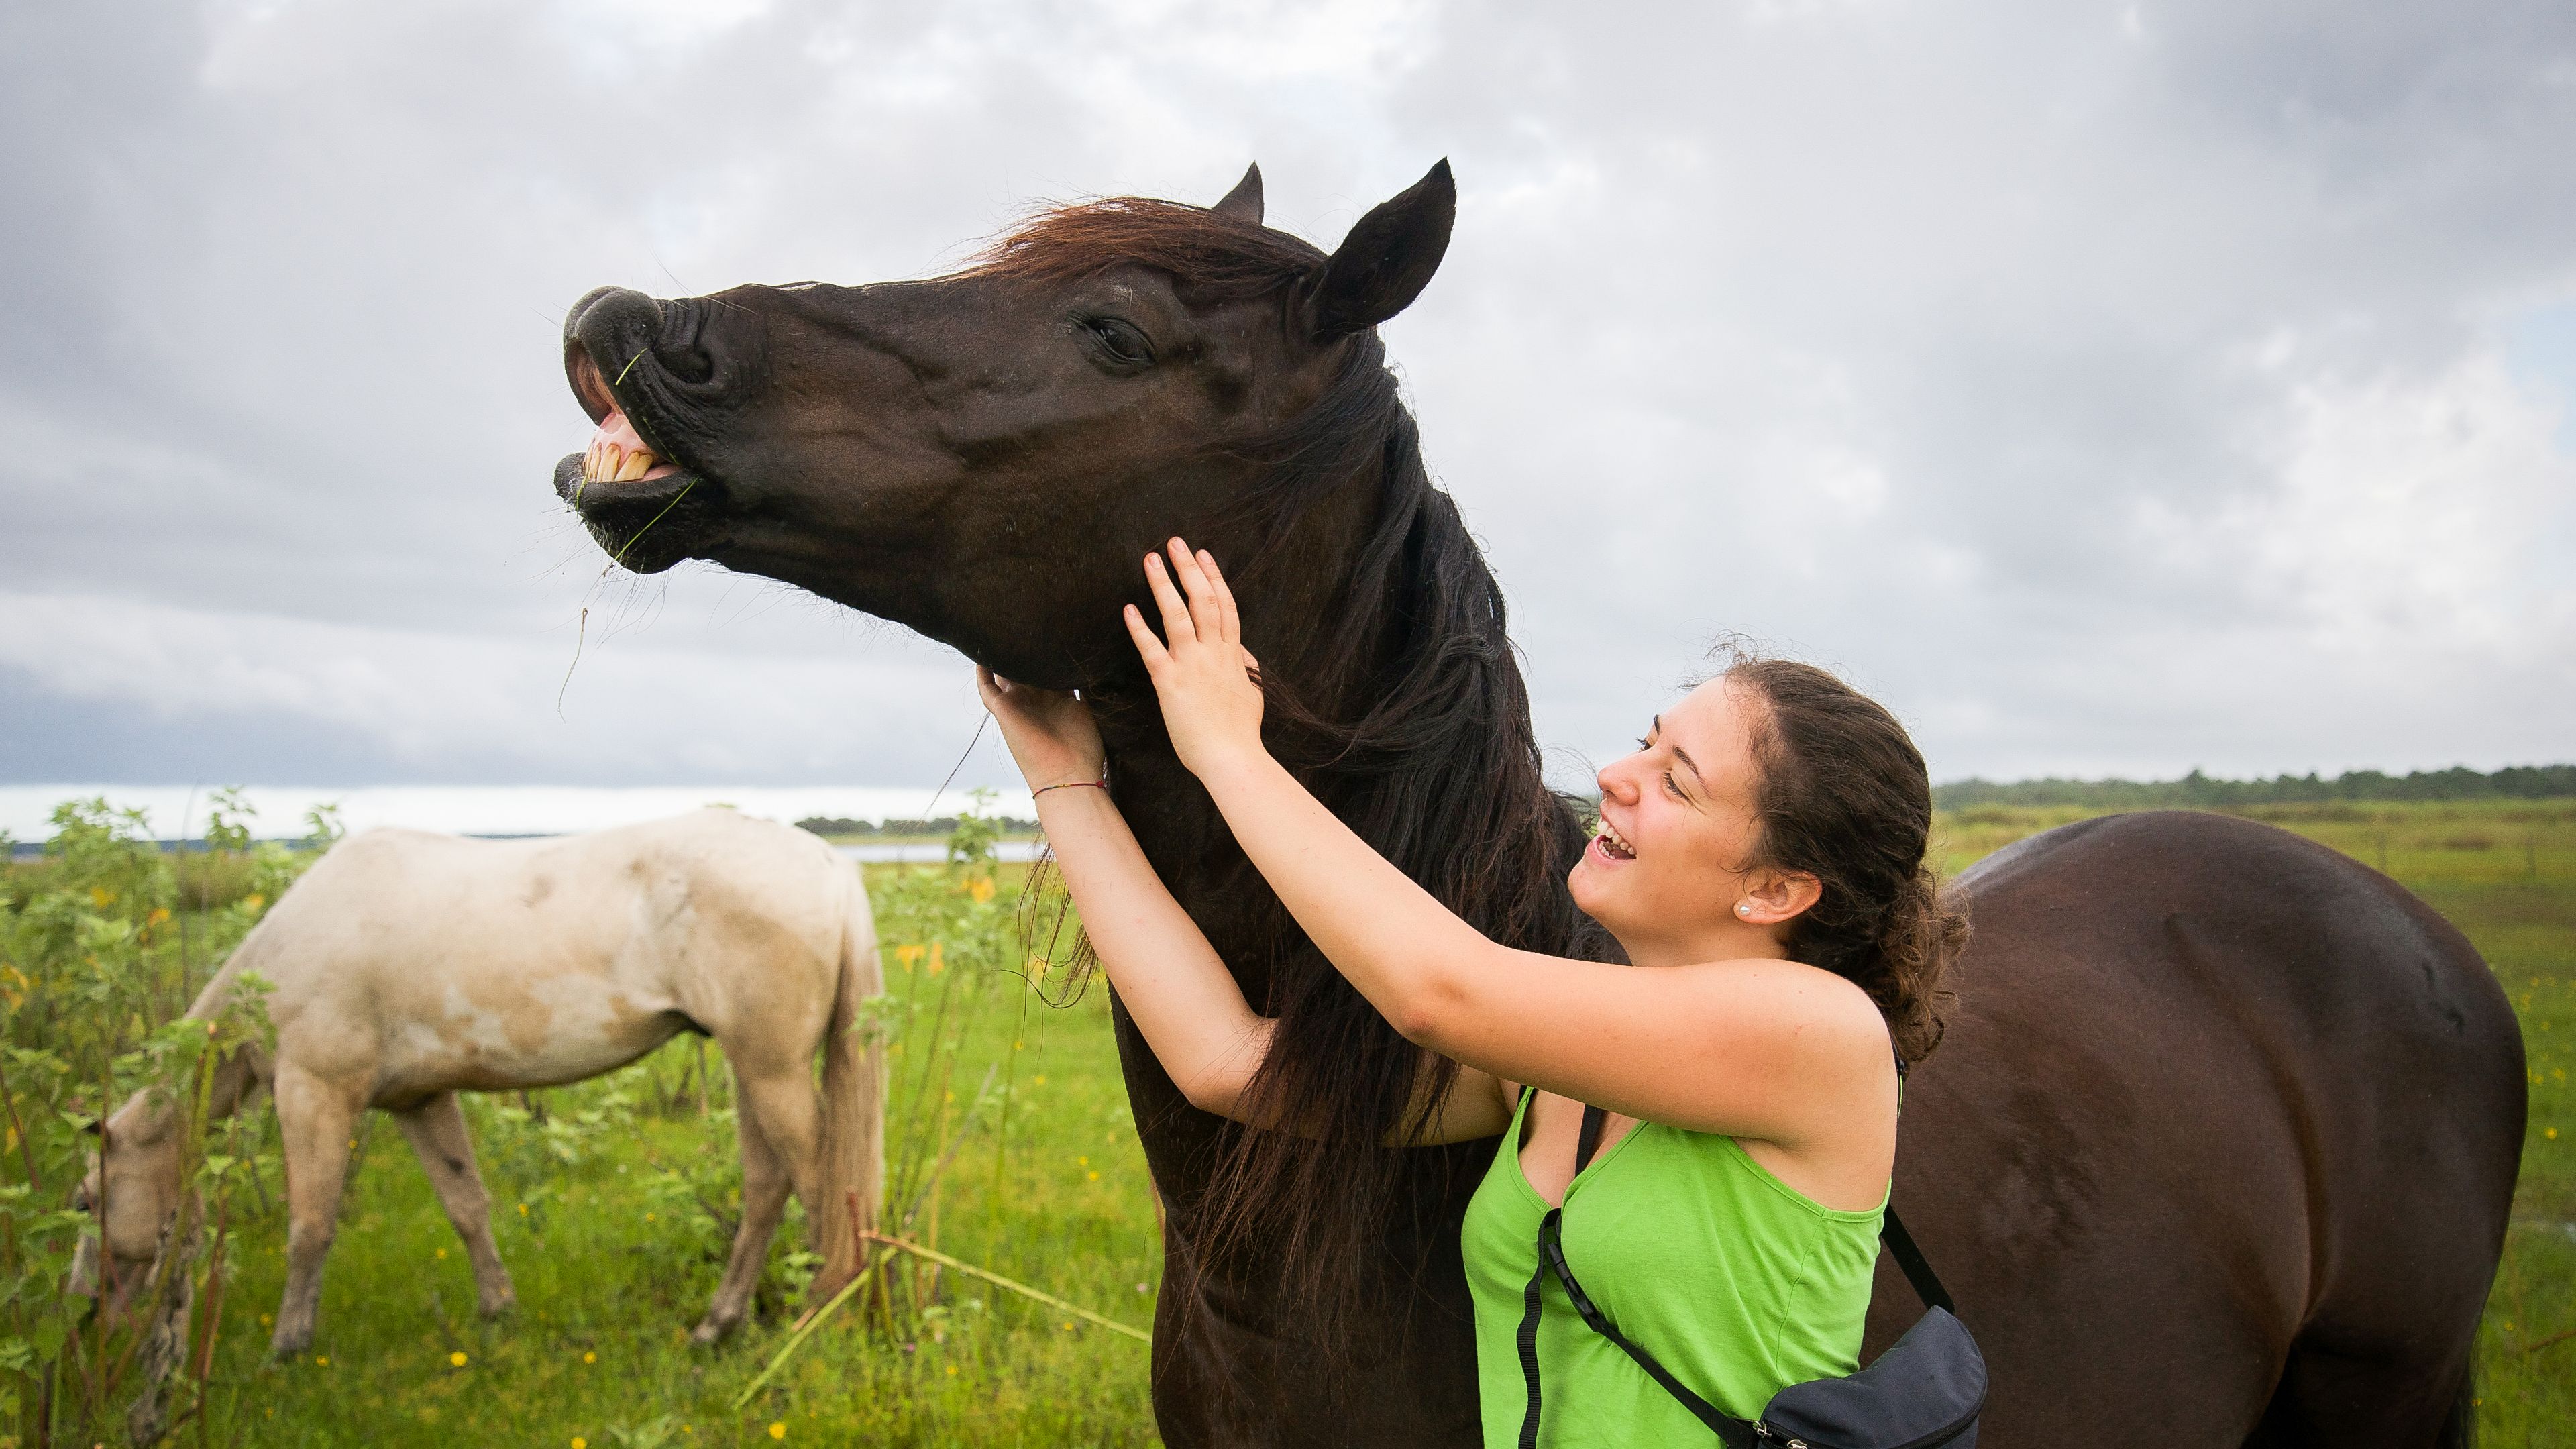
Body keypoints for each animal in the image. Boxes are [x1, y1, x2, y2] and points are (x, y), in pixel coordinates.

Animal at [78, 804, 885, 1350]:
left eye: (87, 1201)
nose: (87, 1317)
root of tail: (828, 865)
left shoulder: (313, 1093)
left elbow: (310, 1224)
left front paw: (289, 1345)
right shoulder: (419, 1100)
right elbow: (465, 1205)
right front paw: (498, 1310)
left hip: (771, 1070)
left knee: (820, 1183)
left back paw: (820, 1311)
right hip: (752, 1069)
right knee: (768, 1188)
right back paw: (717, 1325)